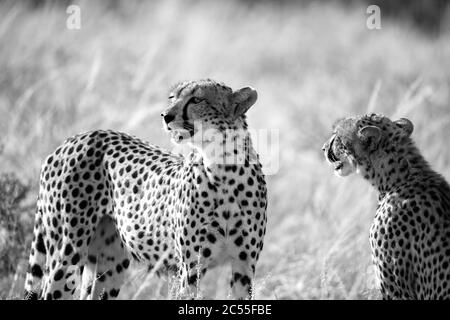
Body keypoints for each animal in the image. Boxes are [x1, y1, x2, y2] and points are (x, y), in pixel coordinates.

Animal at [23, 79, 268, 298]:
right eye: (172, 97)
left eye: (197, 99)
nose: (166, 116)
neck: (224, 169)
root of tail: (75, 138)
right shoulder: (190, 268)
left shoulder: (244, 267)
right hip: (67, 252)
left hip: (109, 262)